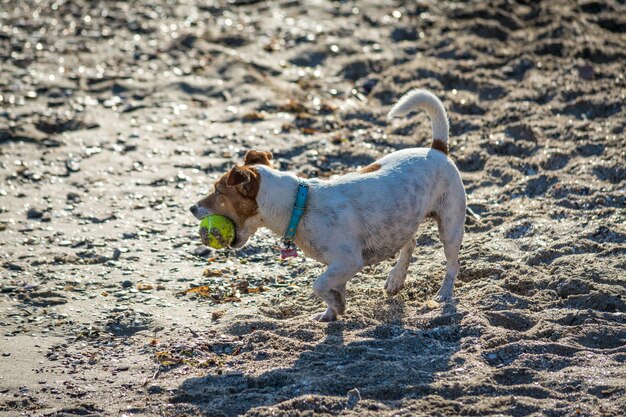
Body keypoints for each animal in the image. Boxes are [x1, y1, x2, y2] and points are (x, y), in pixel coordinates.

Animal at [189, 89, 464, 320]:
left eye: (218, 191)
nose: (192, 208)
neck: (299, 205)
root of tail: (436, 149)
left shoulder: (348, 261)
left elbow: (318, 284)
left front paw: (336, 305)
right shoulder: (337, 266)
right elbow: (333, 288)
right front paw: (332, 311)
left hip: (450, 225)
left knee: (452, 263)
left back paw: (443, 294)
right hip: (402, 221)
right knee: (410, 241)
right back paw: (396, 279)